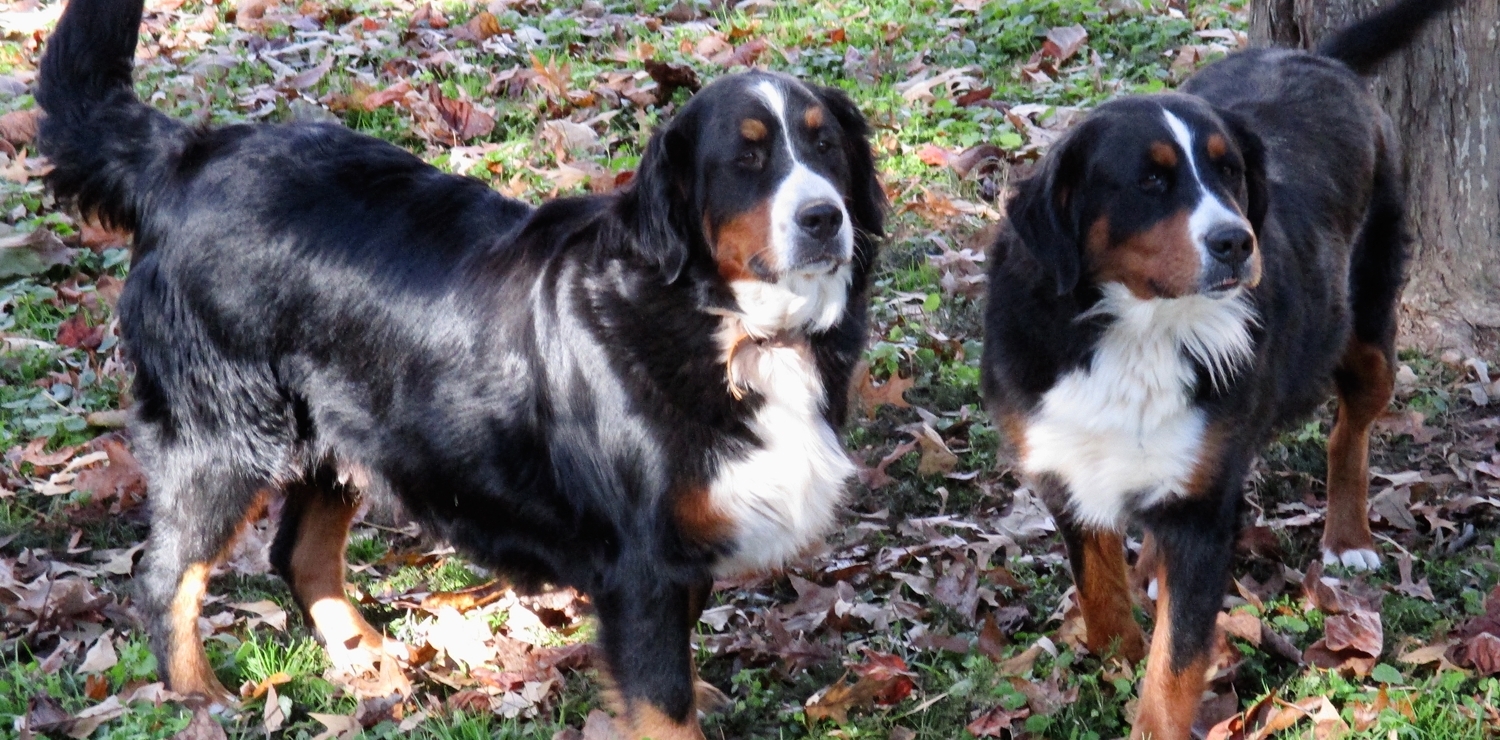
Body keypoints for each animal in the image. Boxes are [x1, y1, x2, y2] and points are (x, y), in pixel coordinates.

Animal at [38, 2, 876, 735]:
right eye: (746, 160)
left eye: (826, 147)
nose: (823, 217)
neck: (732, 327)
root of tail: (188, 157)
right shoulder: (642, 563)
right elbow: (662, 703)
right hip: (222, 438)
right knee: (166, 576)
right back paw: (200, 699)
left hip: (351, 424)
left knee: (298, 553)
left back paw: (363, 659)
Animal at [984, 0, 1452, 732]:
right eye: (1150, 180)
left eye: (1229, 173)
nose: (1237, 241)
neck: (1138, 328)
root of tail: (1317, 59)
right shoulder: (1065, 466)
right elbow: (1103, 602)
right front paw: (1119, 656)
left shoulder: (1205, 511)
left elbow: (1174, 666)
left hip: (1368, 327)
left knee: (1349, 430)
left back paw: (1348, 536)